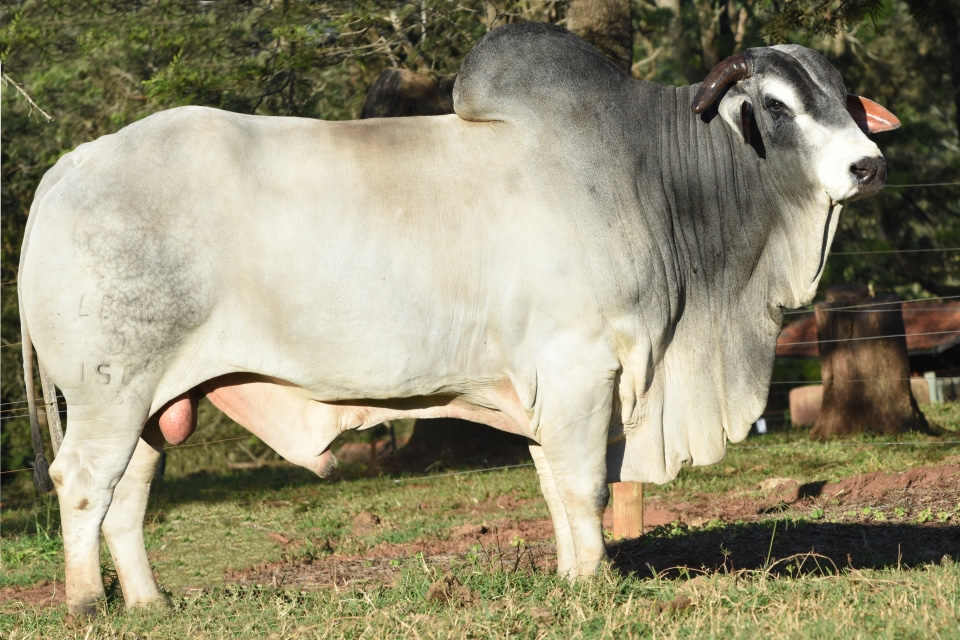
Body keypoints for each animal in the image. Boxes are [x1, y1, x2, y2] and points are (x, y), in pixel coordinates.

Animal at [18, 23, 896, 616]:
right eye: (776, 105)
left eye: (846, 100)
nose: (868, 165)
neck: (649, 176)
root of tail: (71, 165)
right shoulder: (584, 367)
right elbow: (585, 482)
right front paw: (596, 583)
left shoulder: (549, 384)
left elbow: (554, 483)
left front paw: (574, 575)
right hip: (108, 392)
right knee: (82, 484)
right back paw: (86, 604)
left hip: (153, 401)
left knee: (128, 492)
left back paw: (148, 602)